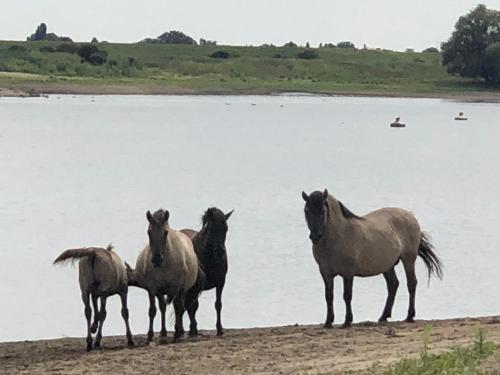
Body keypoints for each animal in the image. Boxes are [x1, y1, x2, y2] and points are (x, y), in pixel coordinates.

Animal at [127, 210, 201, 342]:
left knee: (180, 308)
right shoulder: (153, 289)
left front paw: (177, 333)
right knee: (163, 307)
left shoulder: (178, 288)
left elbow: (178, 308)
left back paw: (179, 332)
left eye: (166, 232)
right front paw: (150, 335)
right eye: (149, 232)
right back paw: (163, 332)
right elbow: (152, 310)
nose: (157, 259)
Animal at [182, 209, 232, 338]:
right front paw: (193, 330)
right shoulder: (196, 286)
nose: (219, 252)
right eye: (210, 229)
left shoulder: (220, 282)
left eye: (225, 228)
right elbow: (193, 306)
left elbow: (218, 305)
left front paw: (219, 329)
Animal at [302, 191, 444, 328]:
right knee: (393, 285)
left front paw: (347, 321)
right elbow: (329, 296)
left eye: (323, 211)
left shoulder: (348, 273)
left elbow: (347, 296)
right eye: (307, 211)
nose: (315, 236)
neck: (337, 237)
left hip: (408, 259)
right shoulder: (325, 273)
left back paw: (409, 316)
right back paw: (383, 317)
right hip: (388, 266)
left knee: (411, 283)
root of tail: (410, 215)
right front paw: (328, 322)